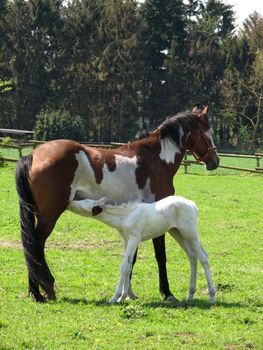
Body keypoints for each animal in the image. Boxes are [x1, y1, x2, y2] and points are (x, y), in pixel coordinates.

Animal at [68, 196, 217, 302]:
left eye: (84, 202)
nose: (69, 202)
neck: (126, 216)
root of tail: (193, 204)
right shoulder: (126, 240)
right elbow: (129, 265)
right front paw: (123, 297)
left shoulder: (134, 238)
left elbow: (124, 266)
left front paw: (115, 297)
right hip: (177, 232)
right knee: (192, 256)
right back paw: (190, 295)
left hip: (190, 233)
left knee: (203, 257)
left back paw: (211, 295)